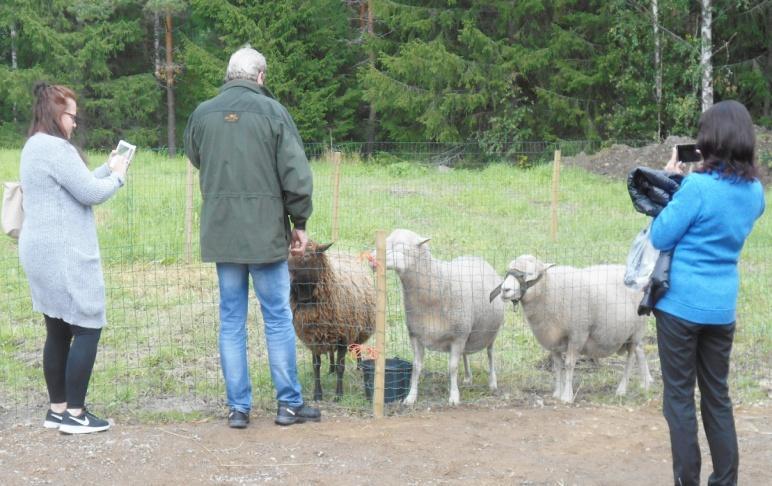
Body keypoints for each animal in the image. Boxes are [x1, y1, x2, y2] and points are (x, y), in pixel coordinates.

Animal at [288, 241, 376, 400]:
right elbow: (316, 366)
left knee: (357, 347)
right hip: (329, 332)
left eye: (307, 255)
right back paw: (331, 369)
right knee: (330, 352)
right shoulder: (313, 337)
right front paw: (317, 394)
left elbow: (342, 367)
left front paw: (339, 395)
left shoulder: (343, 337)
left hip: (358, 329)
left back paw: (359, 366)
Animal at [382, 230, 506, 404]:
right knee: (465, 354)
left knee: (490, 355)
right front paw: (411, 396)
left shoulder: (458, 335)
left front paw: (454, 396)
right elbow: (416, 367)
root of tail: (476, 257)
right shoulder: (416, 335)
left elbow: (452, 367)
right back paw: (468, 378)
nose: (373, 258)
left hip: (489, 333)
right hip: (467, 333)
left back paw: (492, 383)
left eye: (401, 246)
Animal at [488, 254, 652, 402]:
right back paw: (645, 383)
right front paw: (557, 393)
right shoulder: (552, 339)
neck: (550, 290)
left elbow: (568, 365)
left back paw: (622, 390)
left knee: (631, 359)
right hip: (632, 333)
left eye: (530, 274)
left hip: (636, 331)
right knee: (640, 351)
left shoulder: (578, 334)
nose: (505, 289)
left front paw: (567, 396)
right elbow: (557, 366)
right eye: (508, 271)